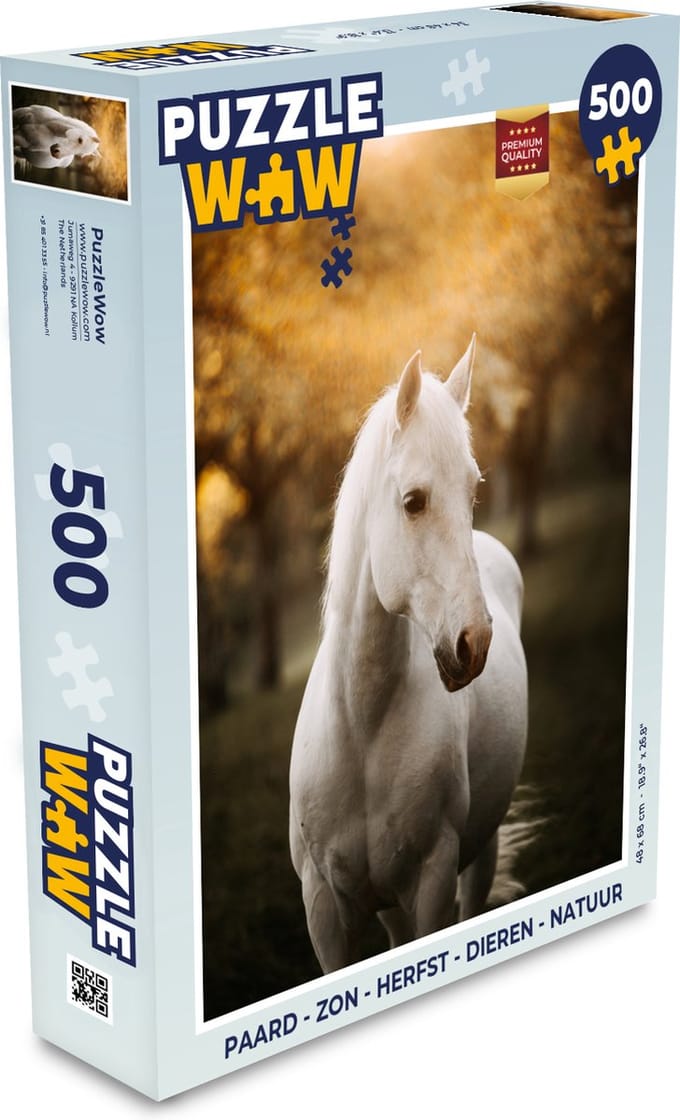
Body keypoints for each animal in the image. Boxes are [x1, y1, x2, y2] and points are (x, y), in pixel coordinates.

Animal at [289, 337, 528, 974]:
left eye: (472, 492)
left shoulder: (432, 880)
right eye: (414, 502)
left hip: (479, 851)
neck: (361, 727)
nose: (475, 643)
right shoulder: (324, 908)